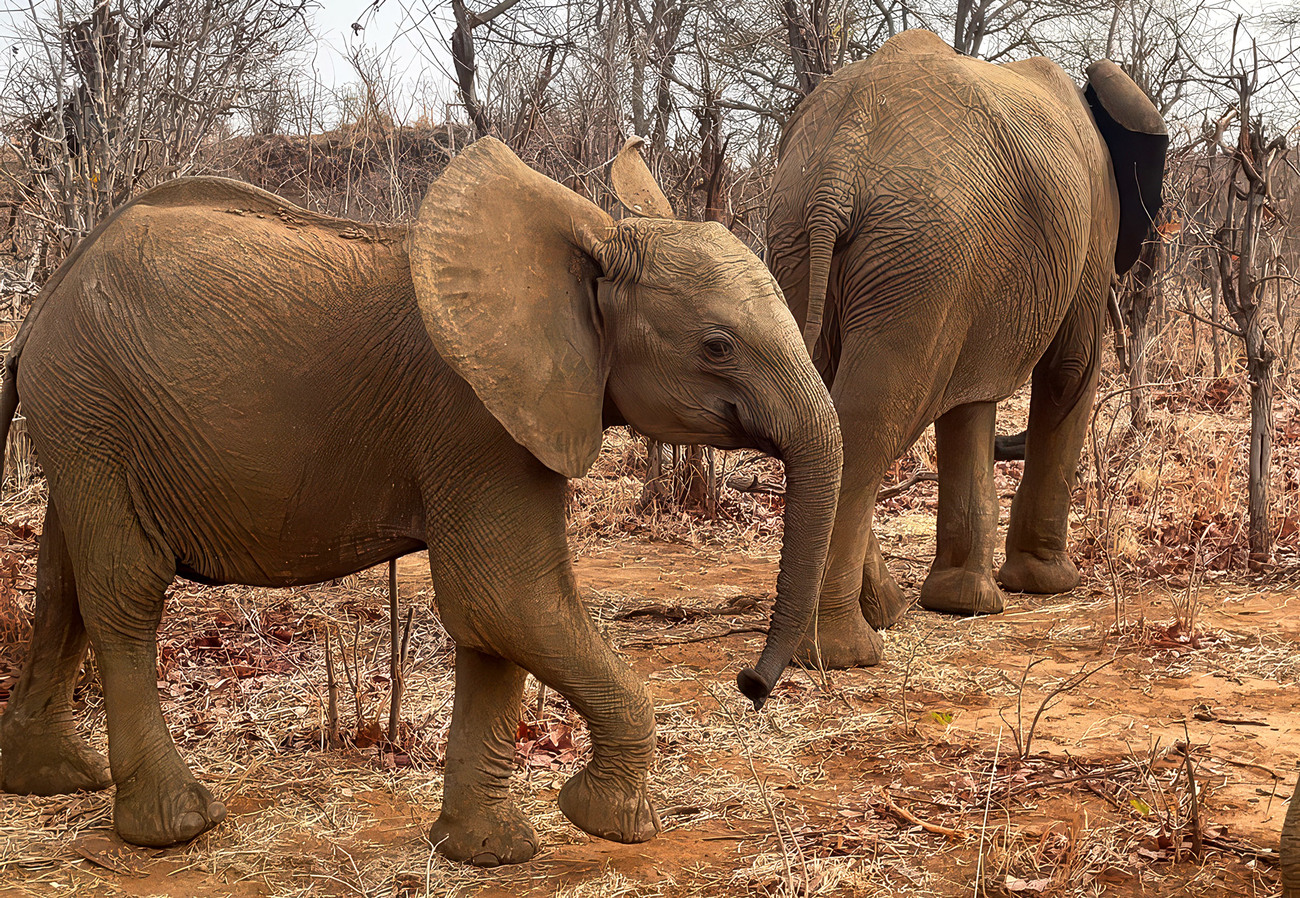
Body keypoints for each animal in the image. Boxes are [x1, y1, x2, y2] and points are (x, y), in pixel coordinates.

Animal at [0, 139, 842, 862]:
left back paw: (54, 779)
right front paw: (608, 823)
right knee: (126, 593)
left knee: (62, 583)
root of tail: (45, 300)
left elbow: (494, 624)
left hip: (79, 418)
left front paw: (486, 853)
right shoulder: (472, 416)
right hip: (92, 402)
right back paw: (175, 827)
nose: (751, 685)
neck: (587, 248)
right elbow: (507, 599)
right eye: (717, 346)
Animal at [759, 28, 1170, 665]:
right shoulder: (1096, 221)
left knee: (825, 413)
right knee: (873, 418)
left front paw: (961, 603)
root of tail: (840, 160)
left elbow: (967, 402)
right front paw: (1049, 585)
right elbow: (1069, 369)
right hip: (916, 248)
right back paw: (845, 650)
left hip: (814, 238)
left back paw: (885, 615)